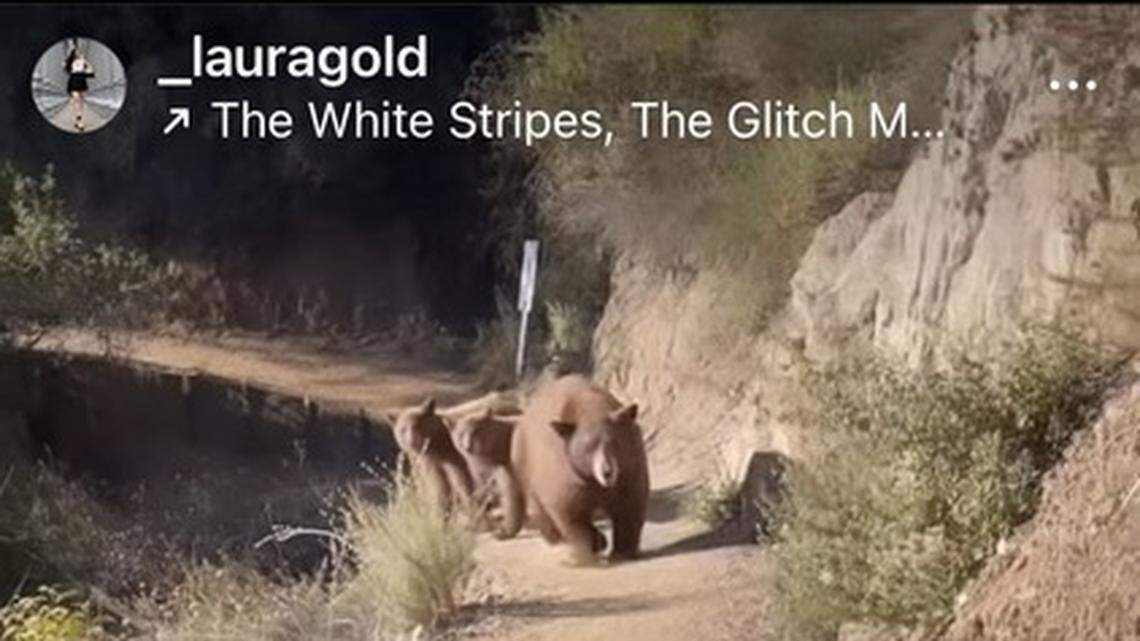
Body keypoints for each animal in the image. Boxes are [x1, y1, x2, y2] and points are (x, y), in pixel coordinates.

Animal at [505, 374, 650, 565]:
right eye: (588, 447)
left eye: (615, 442)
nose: (607, 472)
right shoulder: (564, 470)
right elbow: (569, 510)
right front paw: (585, 554)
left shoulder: (629, 465)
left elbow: (631, 501)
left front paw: (621, 553)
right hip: (524, 466)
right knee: (539, 509)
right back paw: (565, 543)